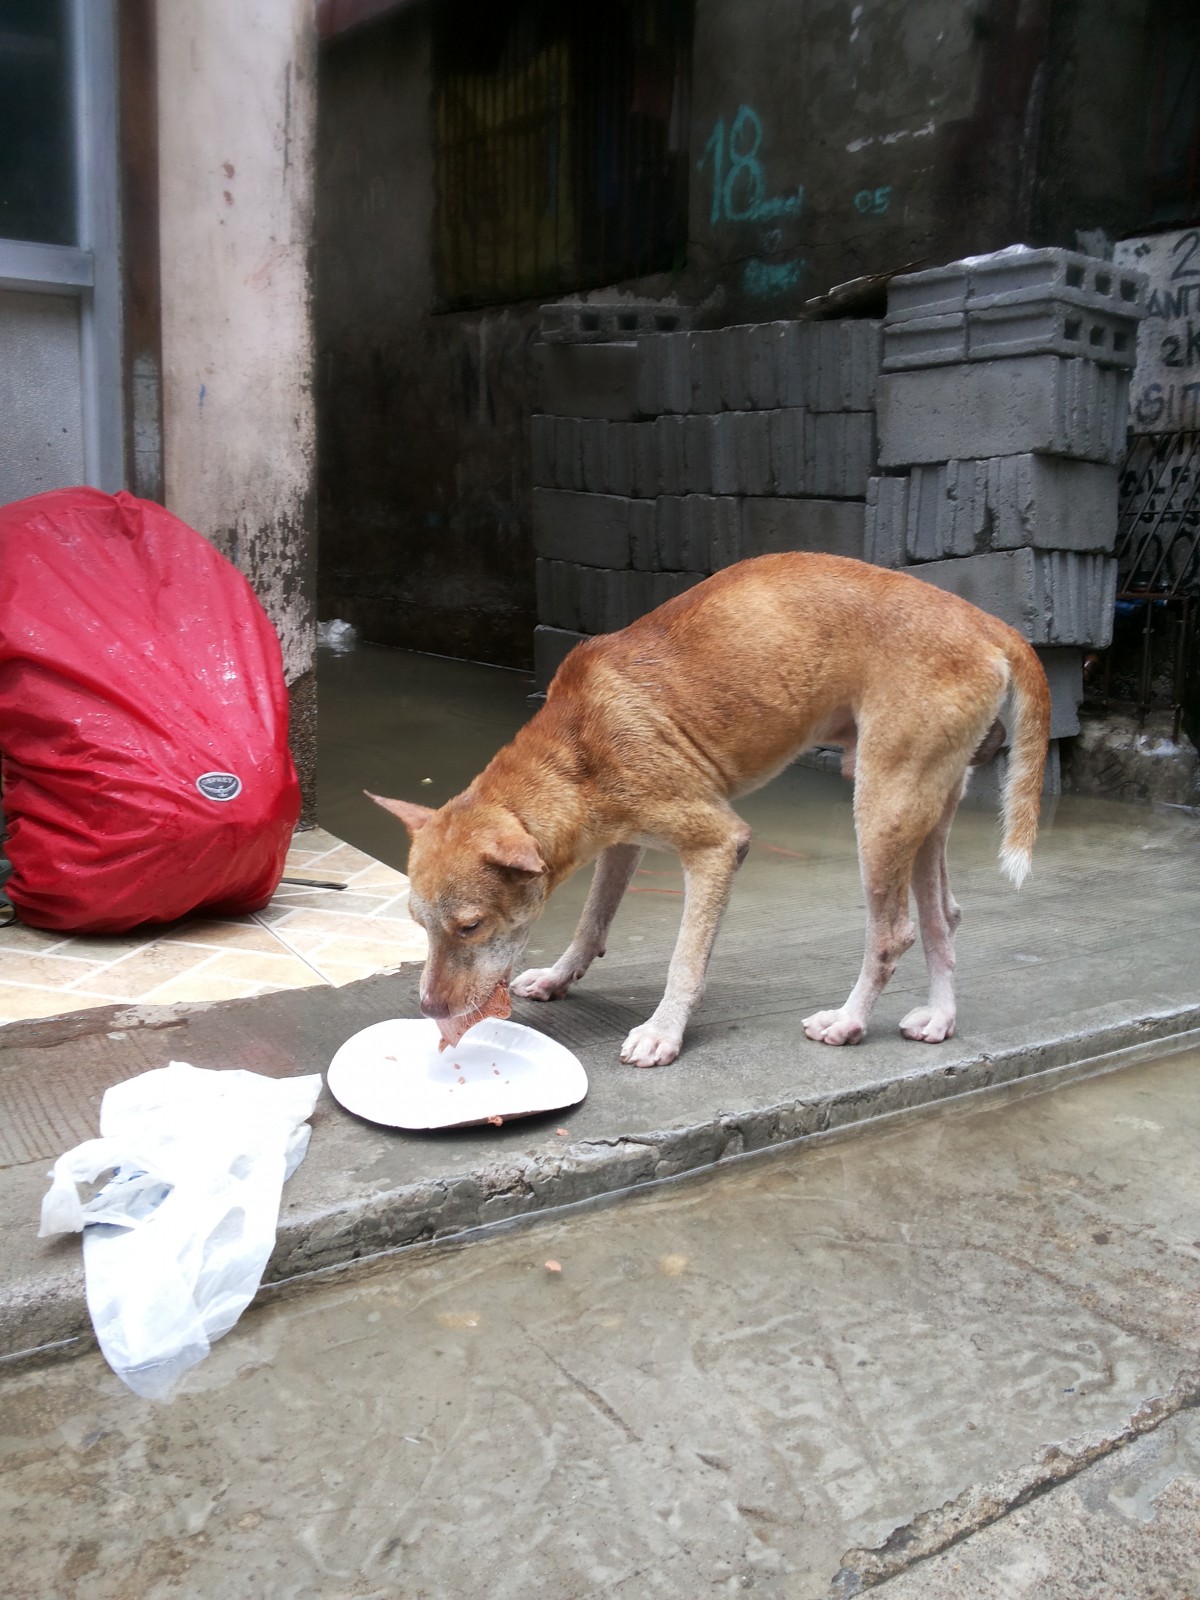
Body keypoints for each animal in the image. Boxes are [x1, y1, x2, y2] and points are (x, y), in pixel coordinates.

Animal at [371, 556, 1049, 1068]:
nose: (430, 1010)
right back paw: (940, 1017)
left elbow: (686, 960)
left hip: (882, 806)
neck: (574, 751)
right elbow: (591, 923)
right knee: (943, 917)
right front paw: (560, 977)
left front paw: (663, 1032)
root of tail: (985, 621)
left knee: (893, 933)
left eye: (469, 927)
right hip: (924, 804)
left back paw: (849, 1022)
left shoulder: (719, 843)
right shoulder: (622, 842)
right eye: (417, 922)